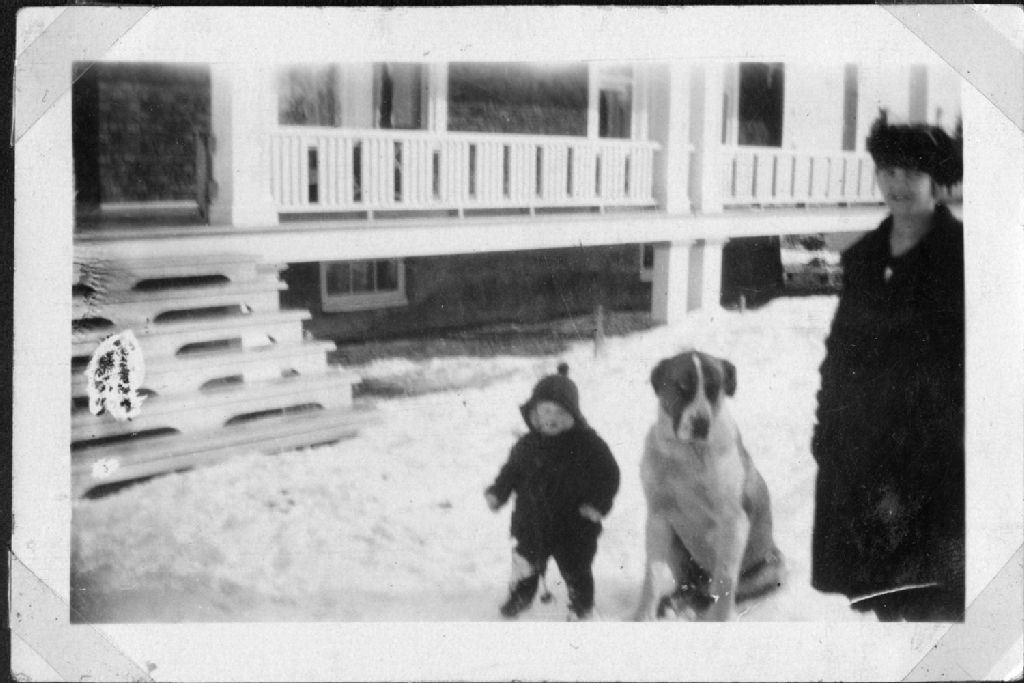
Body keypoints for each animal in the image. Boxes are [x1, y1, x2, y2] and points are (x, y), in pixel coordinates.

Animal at [634, 350, 785, 621]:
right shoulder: (658, 517)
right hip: (677, 548)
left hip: (772, 566)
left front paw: (720, 619)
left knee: (725, 589)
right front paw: (643, 616)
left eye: (715, 389)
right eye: (682, 388)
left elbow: (724, 580)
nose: (701, 423)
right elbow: (652, 574)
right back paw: (673, 603)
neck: (687, 453)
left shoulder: (733, 522)